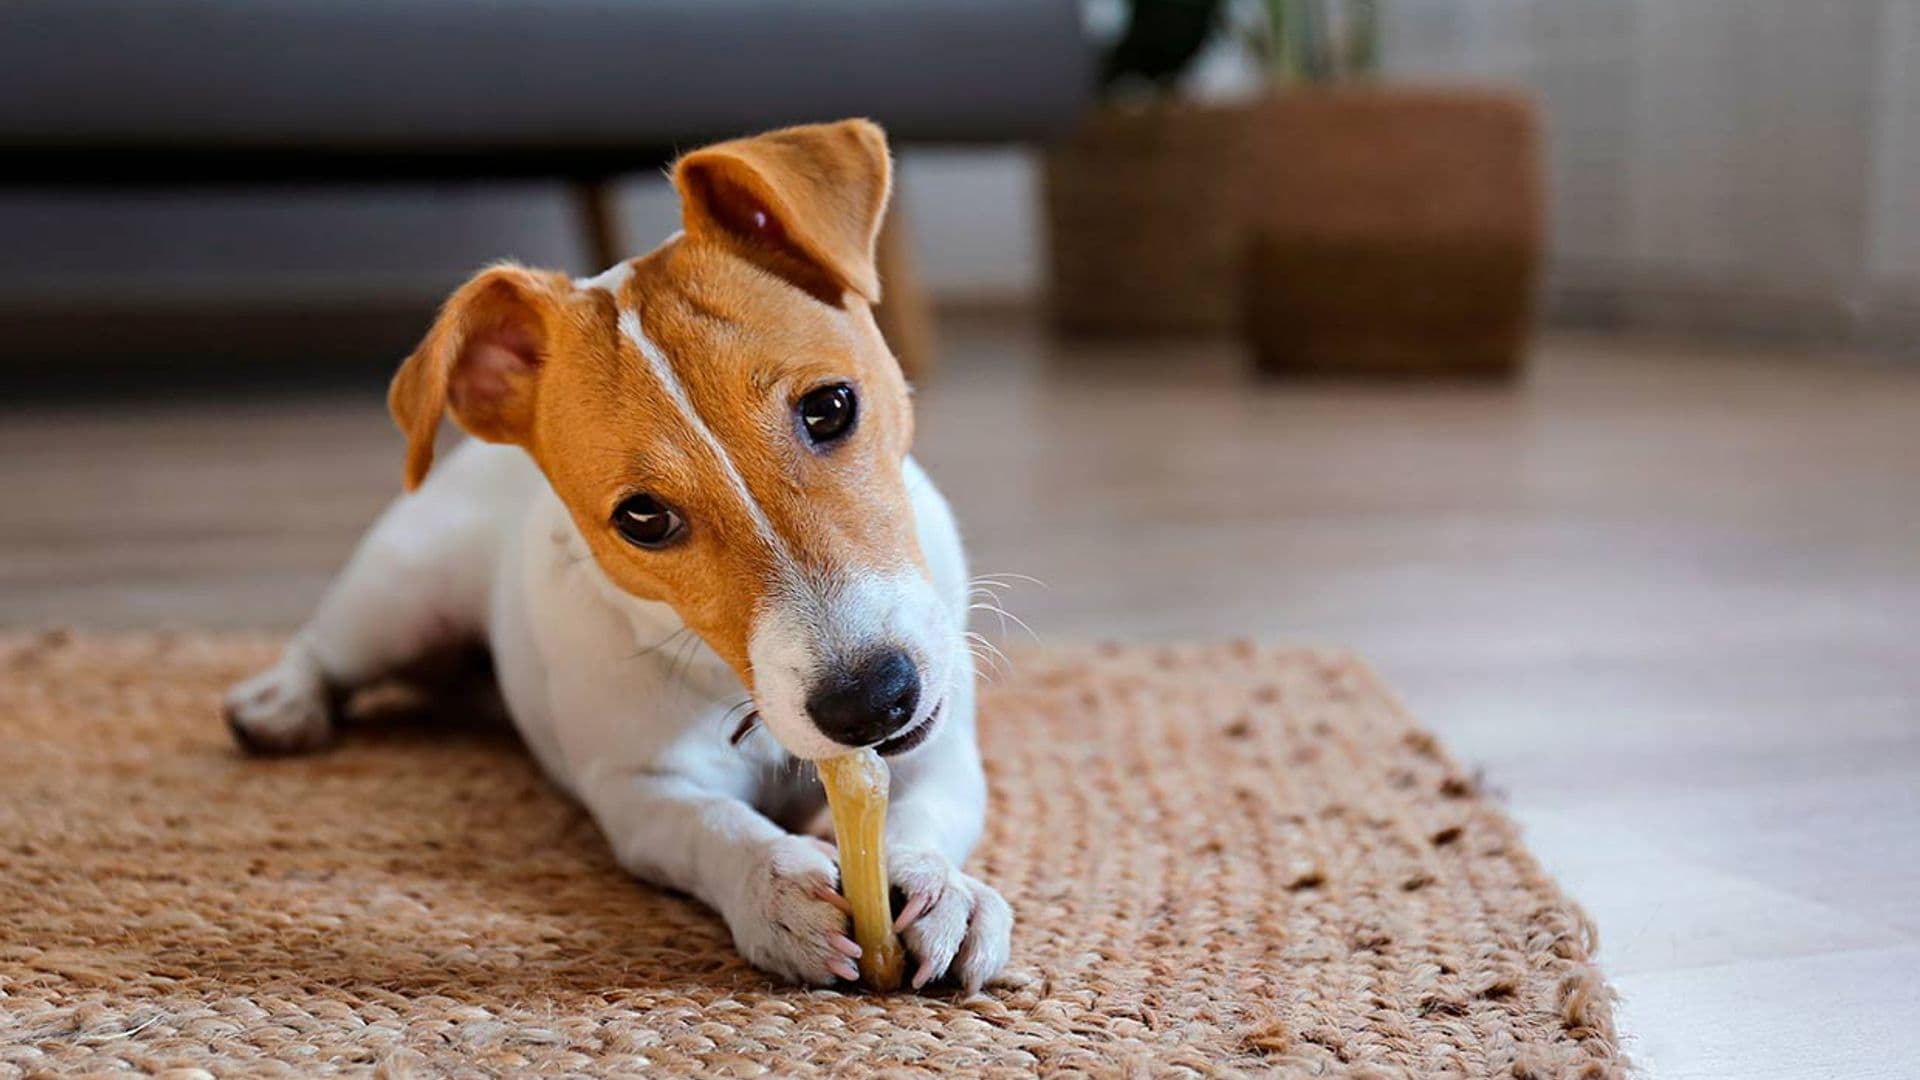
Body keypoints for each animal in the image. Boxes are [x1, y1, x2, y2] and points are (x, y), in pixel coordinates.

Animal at [219, 122, 1013, 991]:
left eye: (831, 407)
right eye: (643, 518)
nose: (870, 702)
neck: (731, 689)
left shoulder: (939, 750)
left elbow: (927, 809)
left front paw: (944, 890)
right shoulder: (637, 791)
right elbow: (713, 824)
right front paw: (776, 887)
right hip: (401, 598)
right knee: (324, 647)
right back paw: (279, 703)